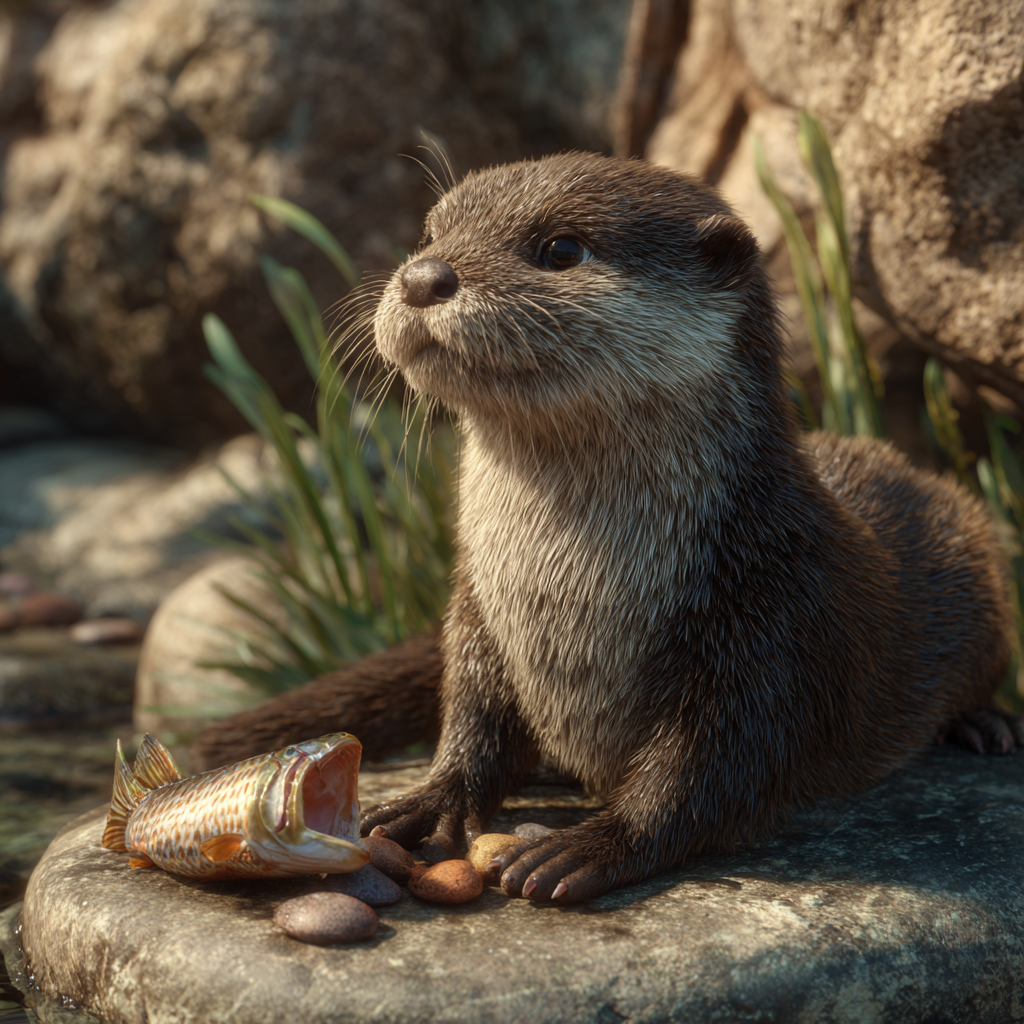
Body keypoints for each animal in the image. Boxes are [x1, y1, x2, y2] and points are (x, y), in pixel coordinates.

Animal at [197, 152, 1023, 904]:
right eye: (430, 231)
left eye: (562, 248)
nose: (424, 276)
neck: (567, 593)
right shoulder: (476, 610)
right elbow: (472, 713)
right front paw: (427, 799)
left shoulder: (776, 618)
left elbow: (710, 770)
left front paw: (588, 846)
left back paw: (986, 727)